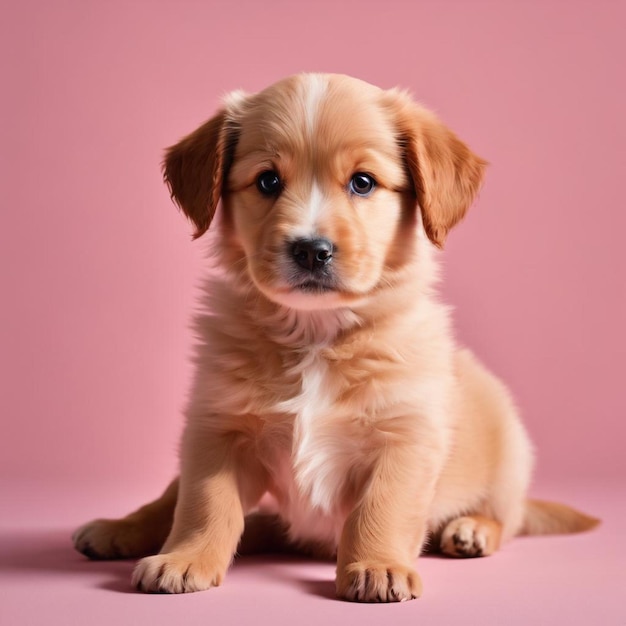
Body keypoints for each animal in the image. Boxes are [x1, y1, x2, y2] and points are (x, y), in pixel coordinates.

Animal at [72, 72, 596, 600]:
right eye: (268, 181)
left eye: (363, 182)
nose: (311, 250)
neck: (316, 335)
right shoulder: (217, 428)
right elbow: (204, 501)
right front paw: (186, 557)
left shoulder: (405, 436)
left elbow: (381, 508)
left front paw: (377, 565)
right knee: (192, 502)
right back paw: (118, 529)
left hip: (511, 460)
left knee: (508, 518)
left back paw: (471, 530)